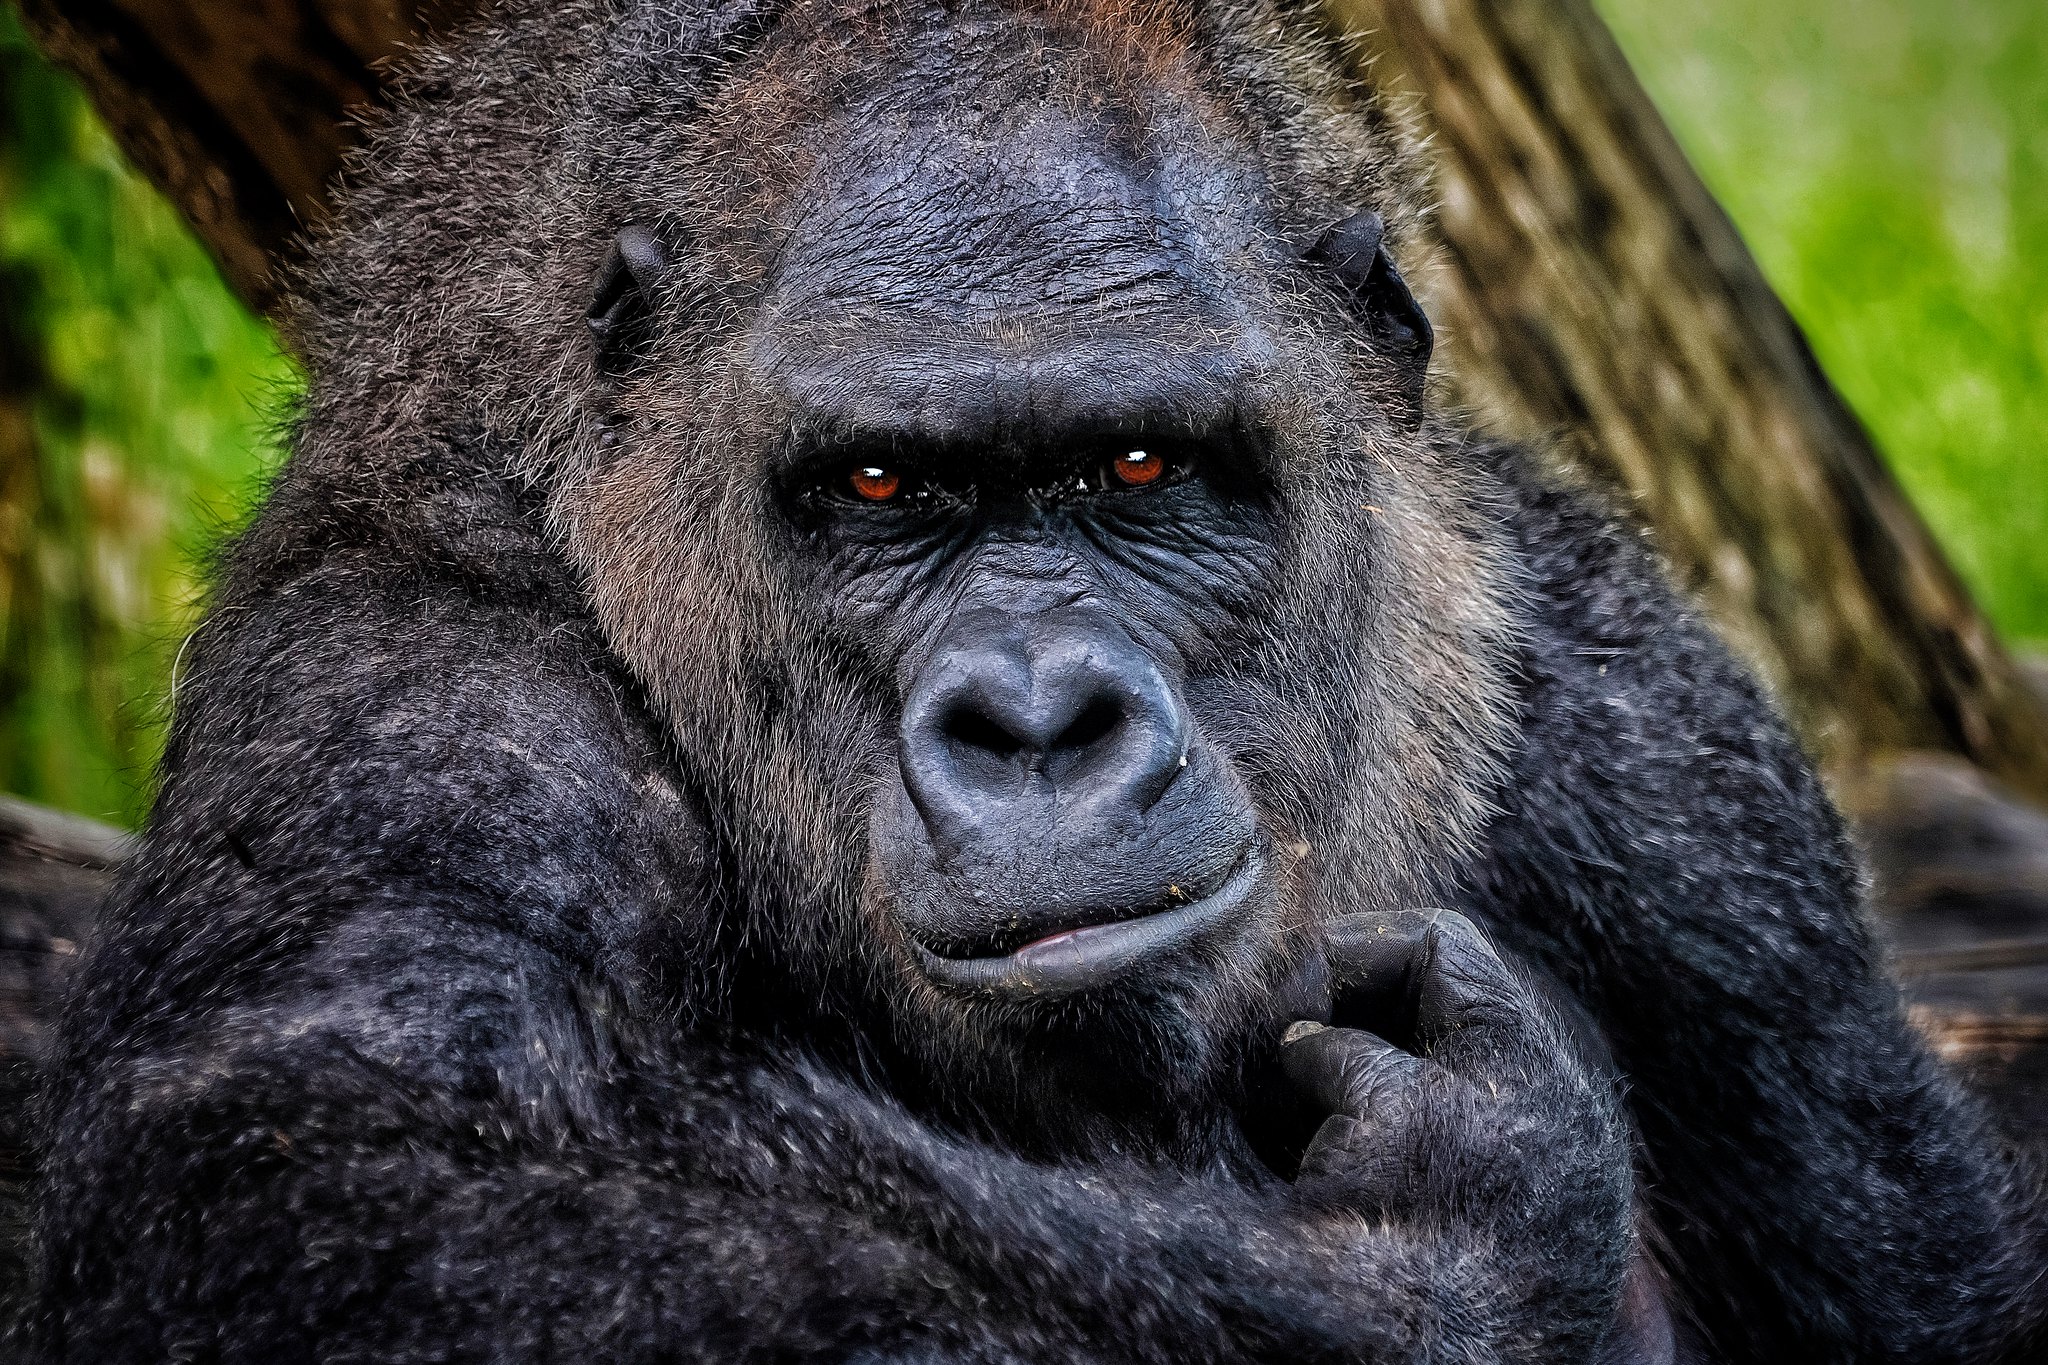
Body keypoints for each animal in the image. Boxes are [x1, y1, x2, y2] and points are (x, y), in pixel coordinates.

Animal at [19, 0, 2048, 1358]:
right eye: (877, 485)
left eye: (1141, 468)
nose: (1038, 719)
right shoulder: (419, 696)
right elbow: (323, 1175)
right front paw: (1443, 1257)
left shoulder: (1671, 751)